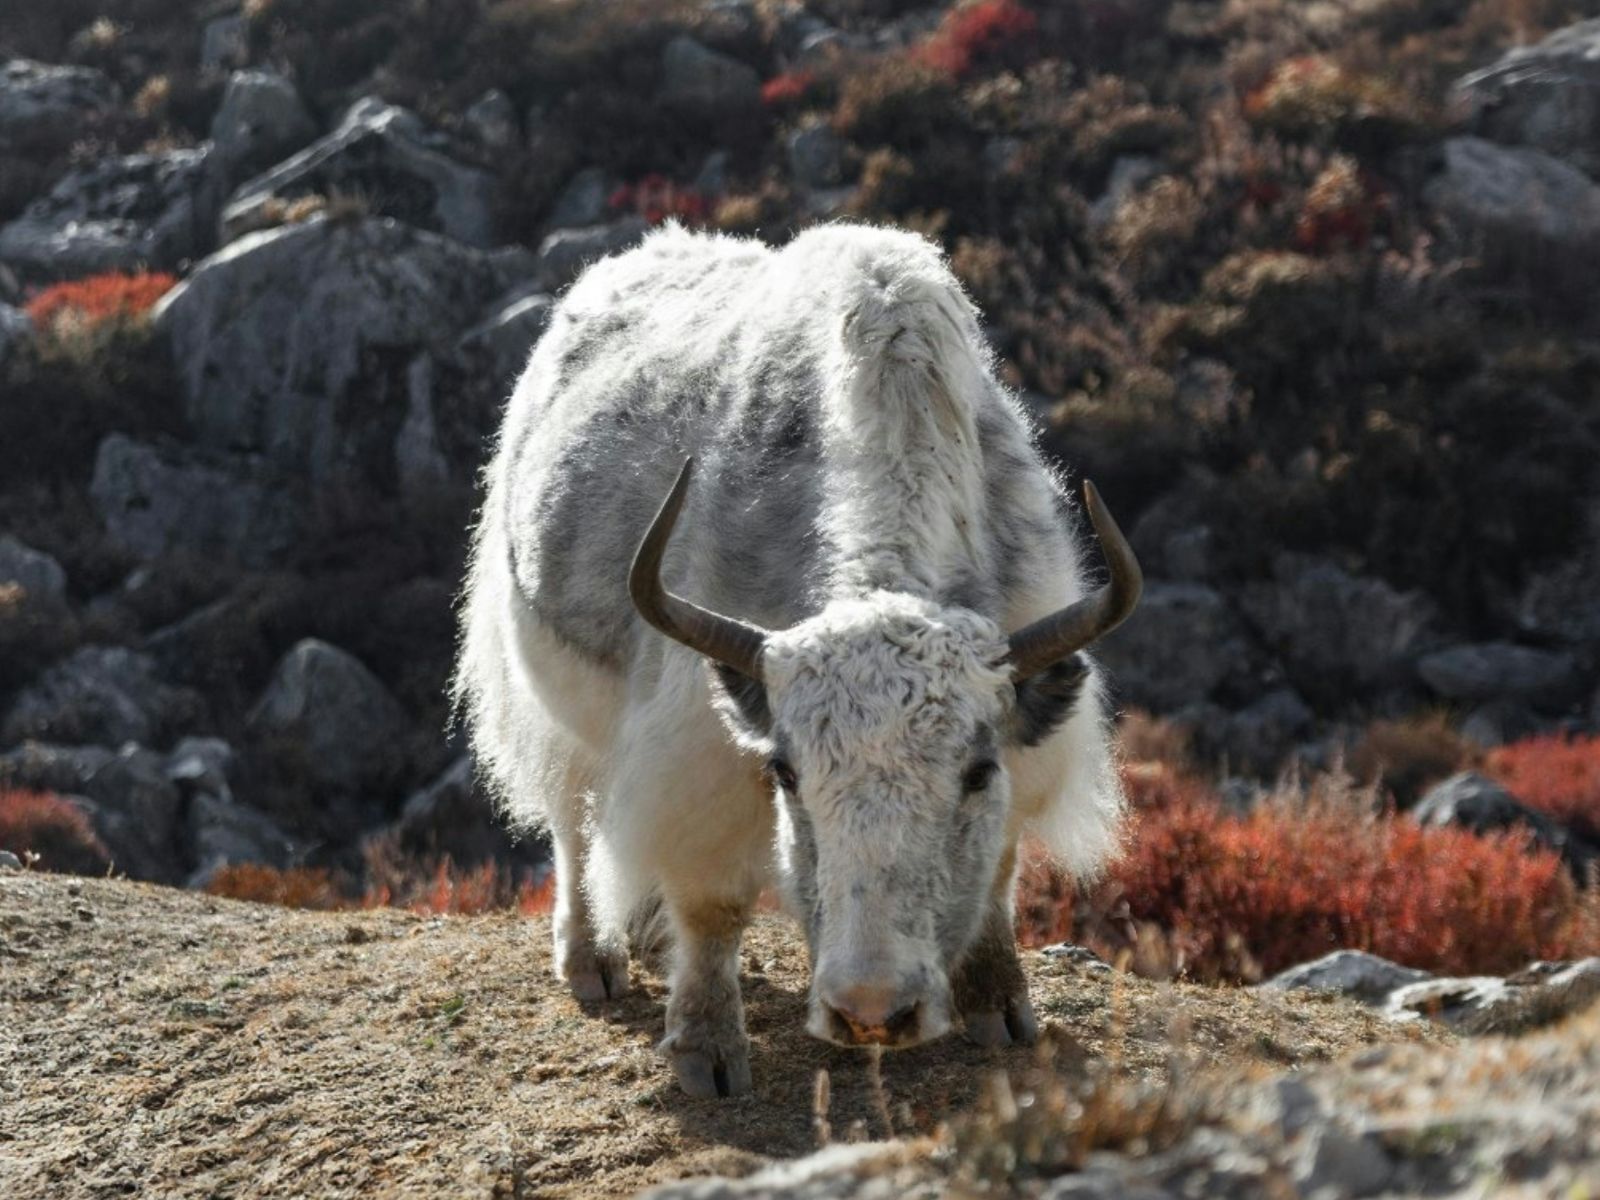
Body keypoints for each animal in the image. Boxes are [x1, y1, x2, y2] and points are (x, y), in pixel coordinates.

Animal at [454, 222, 1141, 1098]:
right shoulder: (701, 748)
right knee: (574, 814)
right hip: (548, 690)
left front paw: (1000, 1004)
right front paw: (707, 1049)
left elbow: (1002, 864)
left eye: (977, 772)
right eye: (785, 772)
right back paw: (594, 958)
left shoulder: (1031, 725)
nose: (872, 1012)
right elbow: (713, 899)